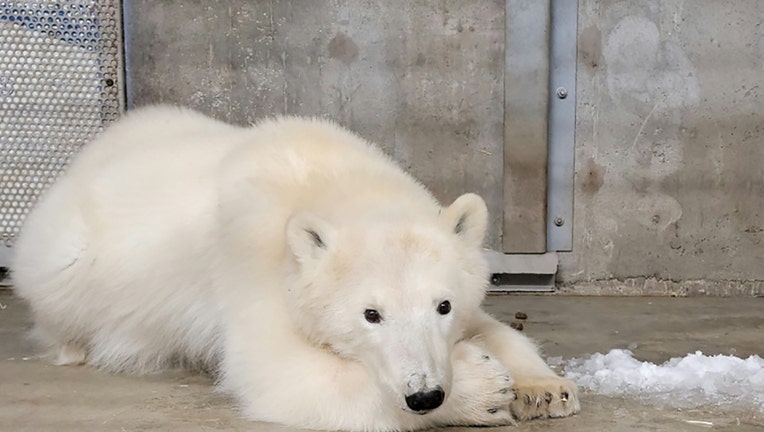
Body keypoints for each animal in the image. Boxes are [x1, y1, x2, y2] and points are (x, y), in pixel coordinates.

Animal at [10, 105, 580, 432]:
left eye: (443, 305)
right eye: (370, 314)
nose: (424, 394)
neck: (329, 179)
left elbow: (492, 325)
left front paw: (544, 389)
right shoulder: (250, 265)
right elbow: (282, 374)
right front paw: (482, 389)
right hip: (65, 266)